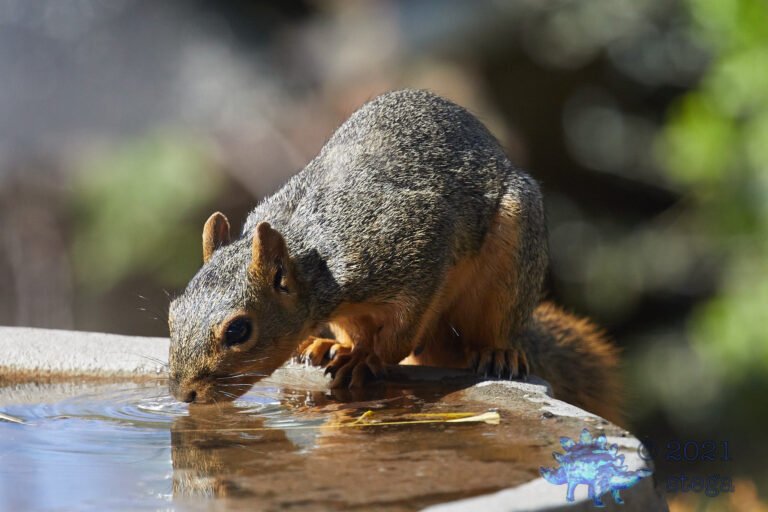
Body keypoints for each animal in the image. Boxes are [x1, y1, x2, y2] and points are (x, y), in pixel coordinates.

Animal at [168, 89, 622, 424]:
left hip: (513, 253)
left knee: (495, 326)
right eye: (171, 314)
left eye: (239, 330)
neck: (316, 253)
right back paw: (326, 346)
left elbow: (402, 331)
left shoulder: (417, 244)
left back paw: (497, 351)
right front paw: (346, 350)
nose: (184, 393)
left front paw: (368, 359)